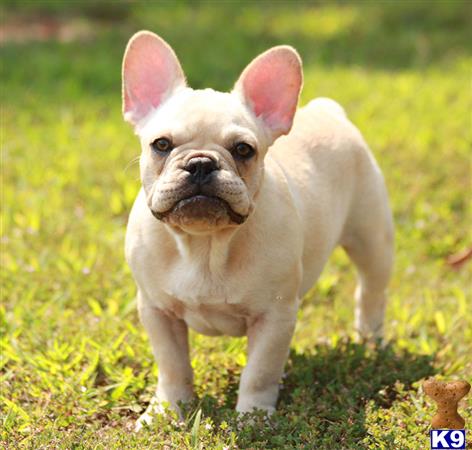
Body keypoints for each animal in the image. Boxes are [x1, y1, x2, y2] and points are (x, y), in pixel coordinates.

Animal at [122, 31, 394, 428]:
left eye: (243, 149)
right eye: (161, 144)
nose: (201, 163)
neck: (205, 244)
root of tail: (328, 110)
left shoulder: (274, 316)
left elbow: (259, 371)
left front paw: (253, 420)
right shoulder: (157, 311)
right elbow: (172, 366)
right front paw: (167, 411)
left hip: (372, 241)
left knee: (371, 293)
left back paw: (371, 341)